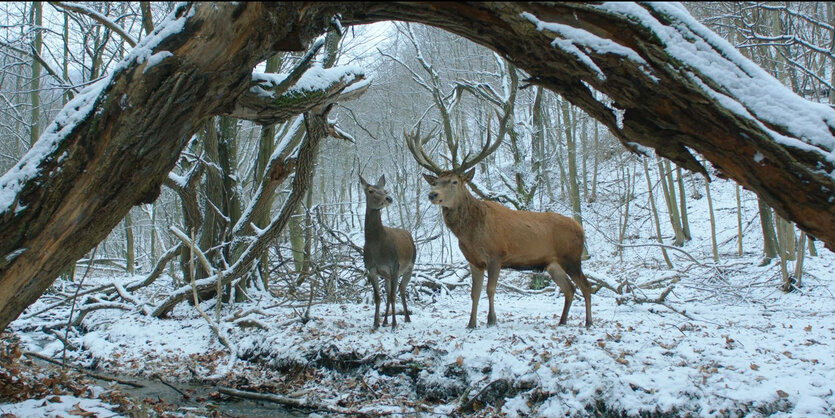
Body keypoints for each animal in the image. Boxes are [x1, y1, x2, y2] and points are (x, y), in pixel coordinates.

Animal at [358, 174, 416, 330]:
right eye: (370, 190)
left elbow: (392, 296)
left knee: (401, 289)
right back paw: (385, 321)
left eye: (385, 190)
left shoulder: (394, 266)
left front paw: (394, 324)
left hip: (410, 265)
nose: (389, 198)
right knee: (390, 292)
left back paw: (406, 318)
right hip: (386, 275)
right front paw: (376, 323)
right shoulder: (371, 269)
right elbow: (378, 297)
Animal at [406, 125, 596, 328]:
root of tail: (581, 228)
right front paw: (471, 323)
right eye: (435, 182)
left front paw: (491, 320)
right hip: (552, 263)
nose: (432, 194)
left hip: (572, 257)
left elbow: (490, 289)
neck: (470, 234)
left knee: (585, 285)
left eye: (454, 182)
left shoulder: (496, 255)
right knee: (569, 288)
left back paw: (588, 322)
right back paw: (562, 321)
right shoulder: (473, 261)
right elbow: (474, 293)